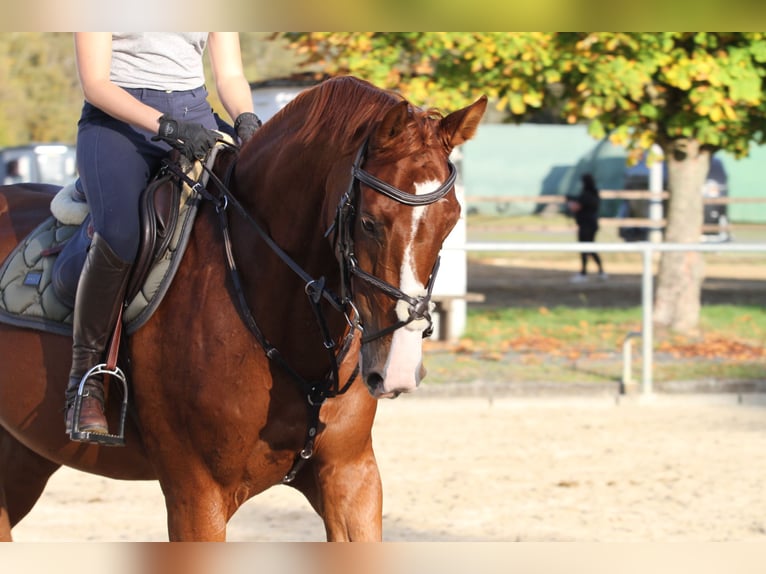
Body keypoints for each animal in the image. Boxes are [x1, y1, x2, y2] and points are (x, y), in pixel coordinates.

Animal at [0, 76, 487, 541]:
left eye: (451, 221)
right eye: (369, 223)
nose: (399, 370)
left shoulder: (352, 477)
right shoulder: (197, 496)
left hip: (24, 458)